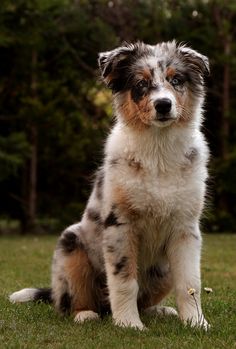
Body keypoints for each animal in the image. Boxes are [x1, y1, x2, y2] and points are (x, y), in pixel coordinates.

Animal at [9, 40, 209, 328]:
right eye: (141, 84)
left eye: (176, 80)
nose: (163, 105)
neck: (158, 150)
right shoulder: (119, 225)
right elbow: (125, 281)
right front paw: (129, 325)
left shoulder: (186, 228)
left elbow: (190, 283)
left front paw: (196, 323)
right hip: (71, 247)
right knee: (73, 301)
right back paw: (85, 314)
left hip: (163, 271)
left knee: (146, 299)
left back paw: (159, 311)